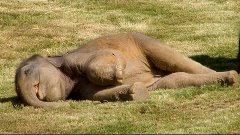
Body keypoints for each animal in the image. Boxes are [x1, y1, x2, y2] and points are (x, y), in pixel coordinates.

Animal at [15, 31, 238, 107]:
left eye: (27, 71)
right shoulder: (81, 90)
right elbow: (99, 95)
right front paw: (134, 91)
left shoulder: (75, 56)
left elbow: (112, 56)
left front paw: (120, 72)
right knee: (174, 79)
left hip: (143, 41)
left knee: (174, 60)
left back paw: (233, 77)